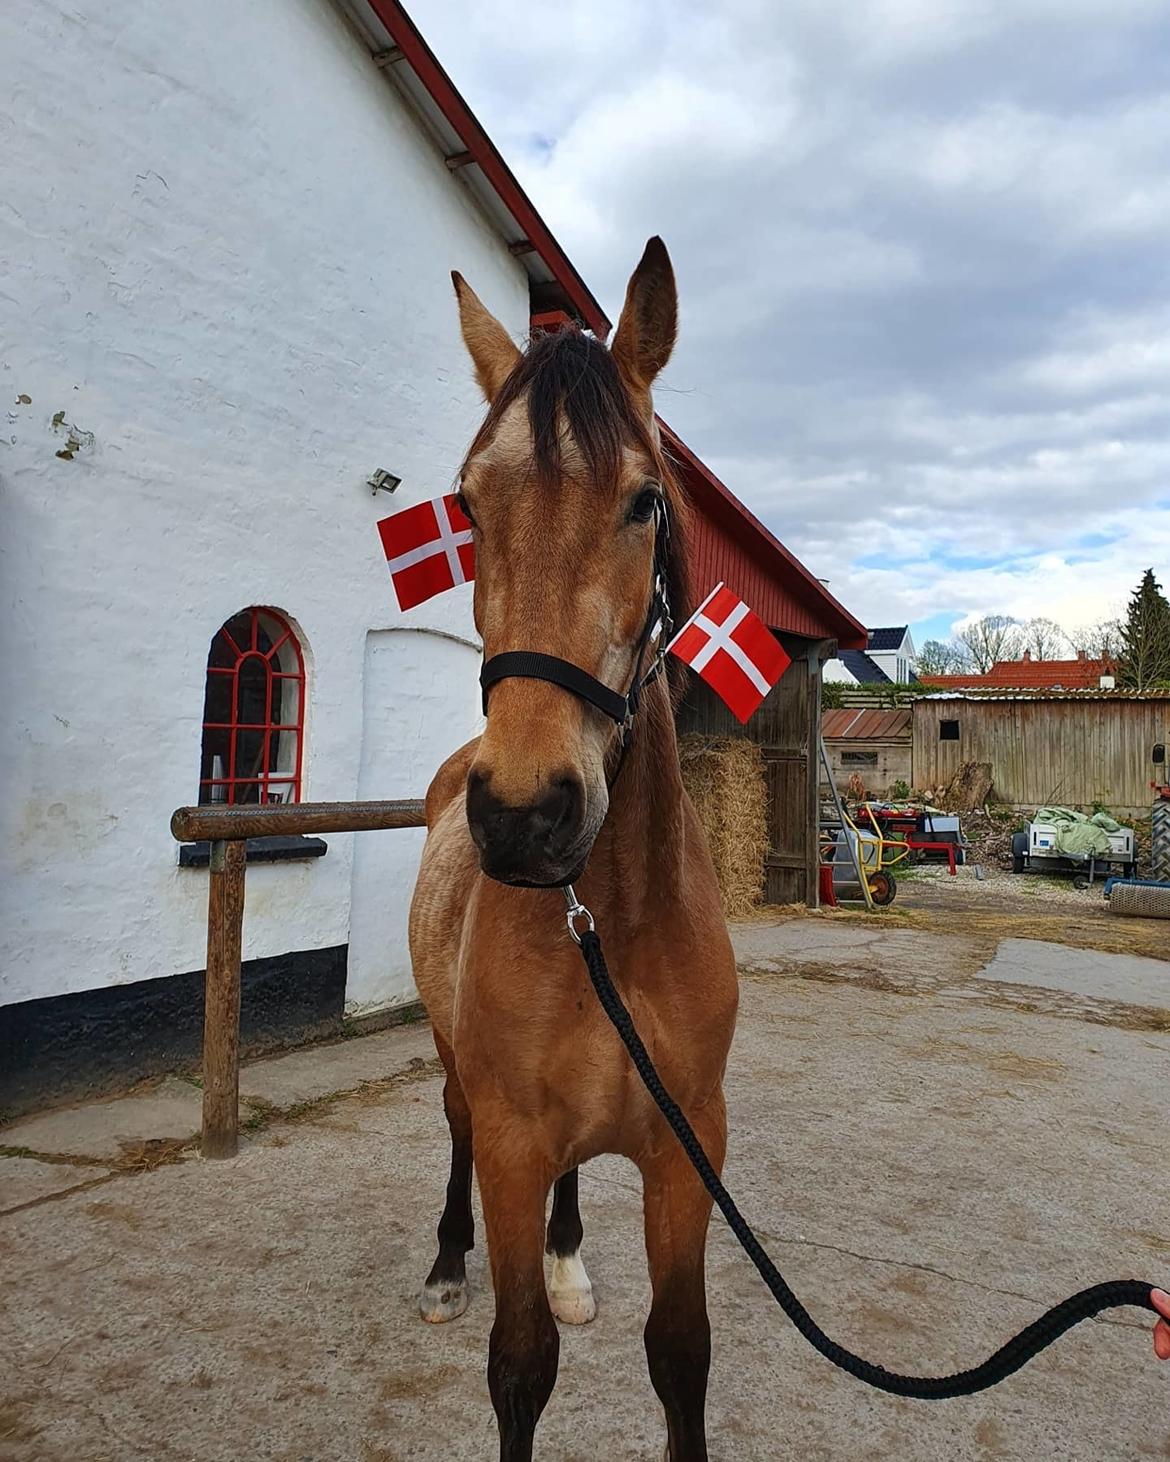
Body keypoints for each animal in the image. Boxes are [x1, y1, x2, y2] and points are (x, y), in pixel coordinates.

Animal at [412, 233, 737, 1456]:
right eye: (467, 507)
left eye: (643, 501)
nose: (524, 812)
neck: (619, 924)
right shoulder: (511, 1142)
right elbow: (519, 1365)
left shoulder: (690, 1151)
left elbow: (681, 1355)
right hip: (460, 1075)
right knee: (453, 1127)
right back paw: (445, 1266)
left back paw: (565, 1260)